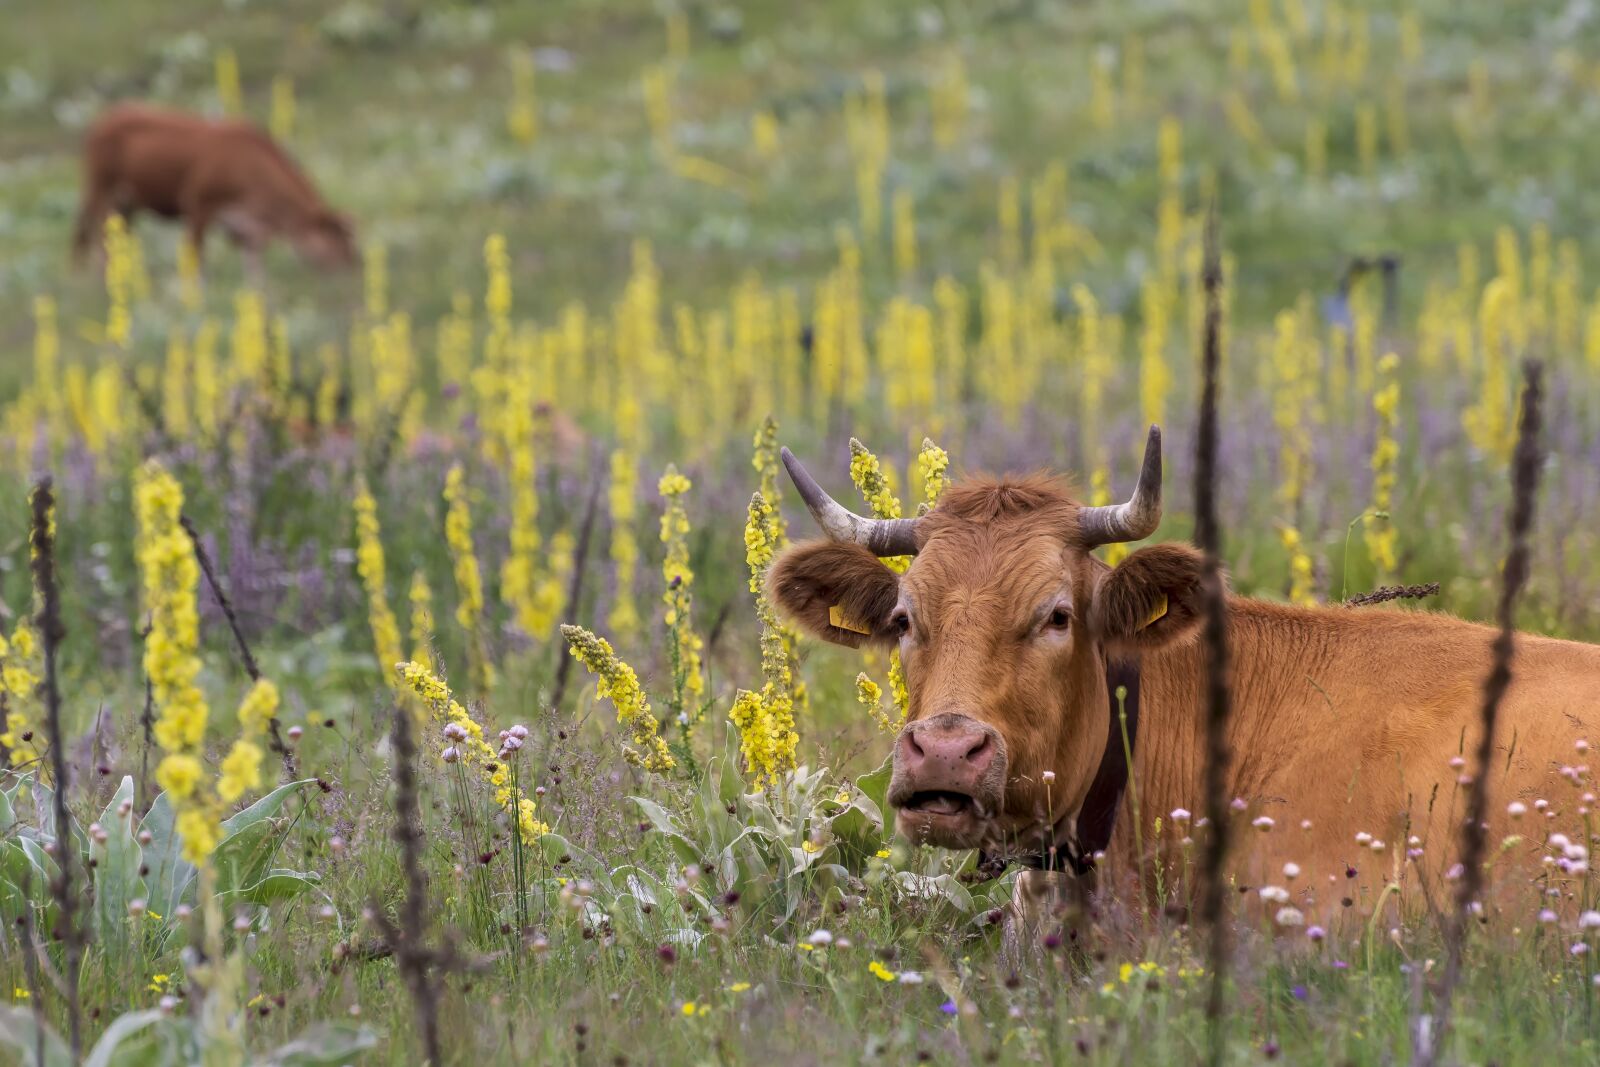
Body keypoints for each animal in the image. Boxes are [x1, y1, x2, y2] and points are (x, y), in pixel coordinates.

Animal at [73, 103, 358, 278]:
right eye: (340, 239)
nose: (355, 264)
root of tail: (104, 120)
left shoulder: (247, 231)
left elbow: (256, 274)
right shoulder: (199, 207)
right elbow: (196, 262)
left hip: (127, 205)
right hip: (101, 191)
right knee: (92, 237)